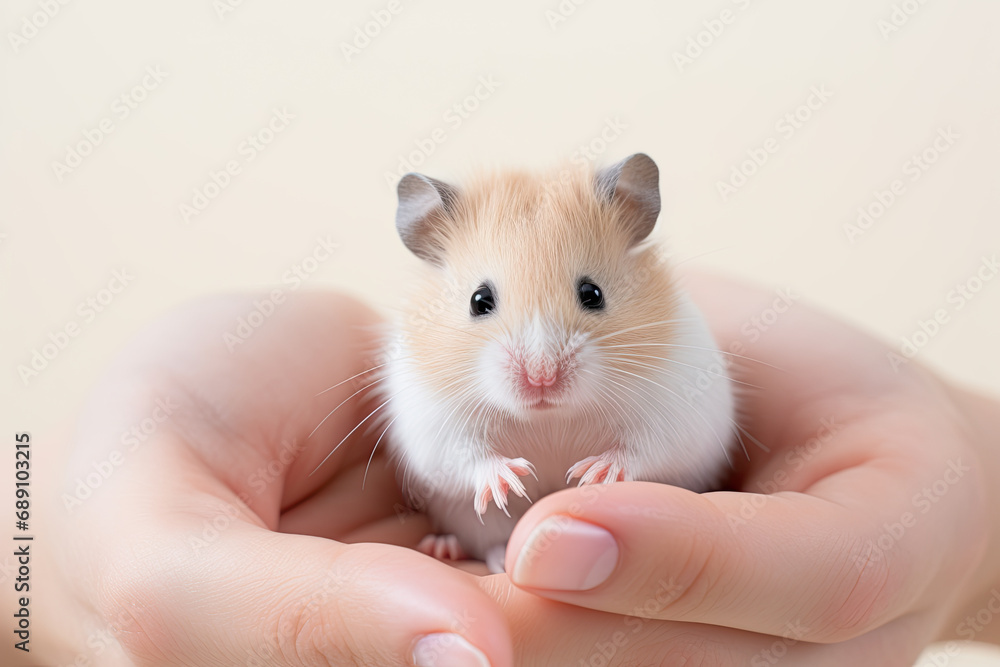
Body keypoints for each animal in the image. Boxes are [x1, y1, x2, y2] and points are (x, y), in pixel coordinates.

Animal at [378, 154, 740, 572]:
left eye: (593, 293)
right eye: (478, 300)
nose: (541, 378)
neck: (549, 417)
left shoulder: (675, 410)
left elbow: (643, 449)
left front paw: (592, 474)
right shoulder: (434, 423)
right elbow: (468, 455)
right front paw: (510, 480)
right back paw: (453, 548)